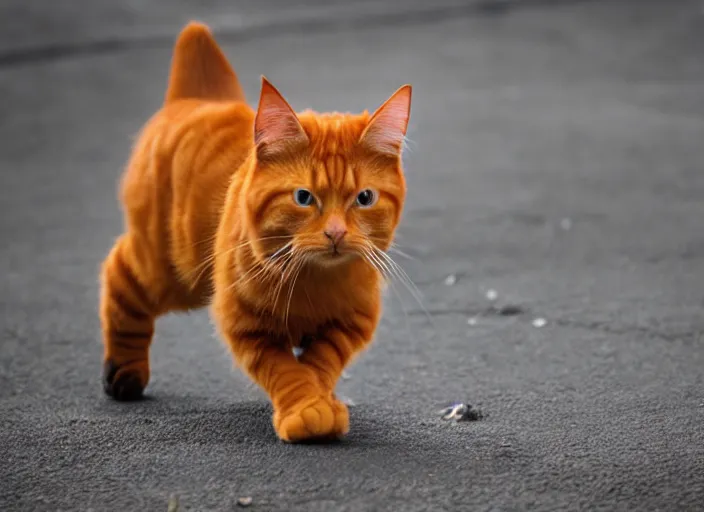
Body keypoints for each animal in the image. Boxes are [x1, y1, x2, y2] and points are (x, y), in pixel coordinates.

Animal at [96, 22, 410, 442]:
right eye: (303, 197)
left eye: (364, 198)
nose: (335, 233)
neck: (314, 282)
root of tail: (199, 98)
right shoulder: (247, 326)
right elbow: (287, 372)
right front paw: (307, 411)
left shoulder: (349, 323)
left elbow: (320, 364)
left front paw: (321, 401)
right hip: (172, 272)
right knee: (118, 273)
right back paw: (124, 371)